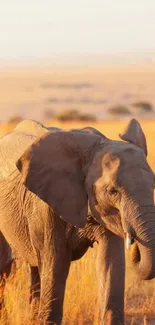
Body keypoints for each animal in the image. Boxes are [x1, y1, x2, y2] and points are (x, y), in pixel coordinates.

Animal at [0, 117, 155, 324]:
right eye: (113, 191)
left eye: (153, 186)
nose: (136, 243)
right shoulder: (46, 205)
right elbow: (56, 264)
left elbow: (110, 263)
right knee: (5, 268)